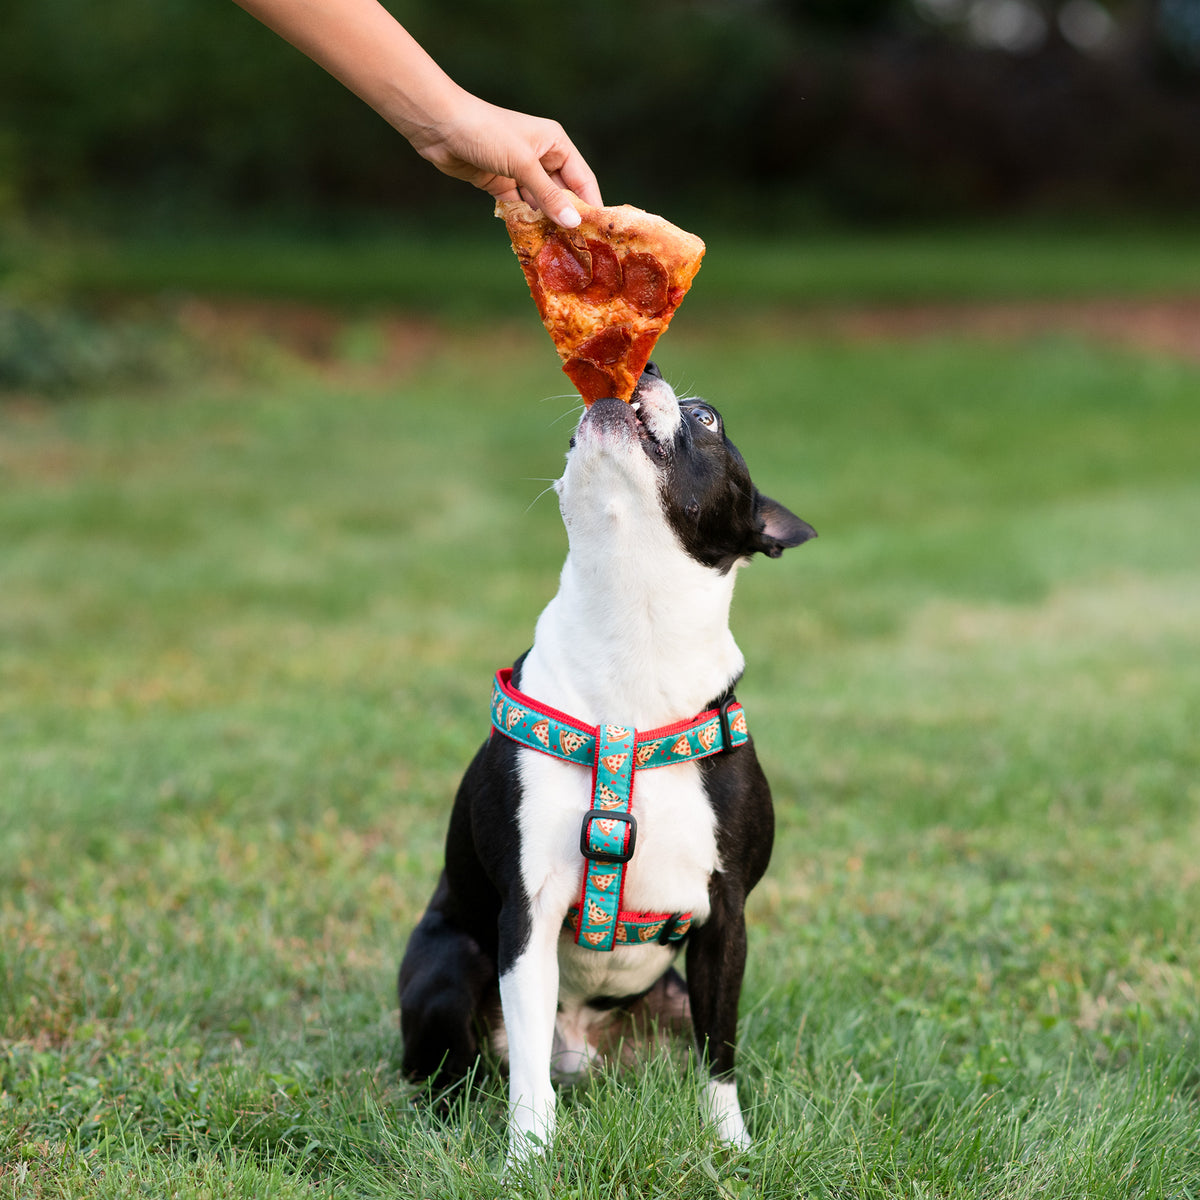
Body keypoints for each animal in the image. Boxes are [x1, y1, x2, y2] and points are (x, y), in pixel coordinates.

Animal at [398, 362, 811, 1161]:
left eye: (708, 419)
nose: (644, 367)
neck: (635, 622)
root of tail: (583, 1046)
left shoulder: (726, 916)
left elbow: (721, 1052)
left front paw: (731, 1146)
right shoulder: (526, 915)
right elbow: (528, 1067)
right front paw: (527, 1160)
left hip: (668, 997)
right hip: (451, 964)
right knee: (457, 1072)